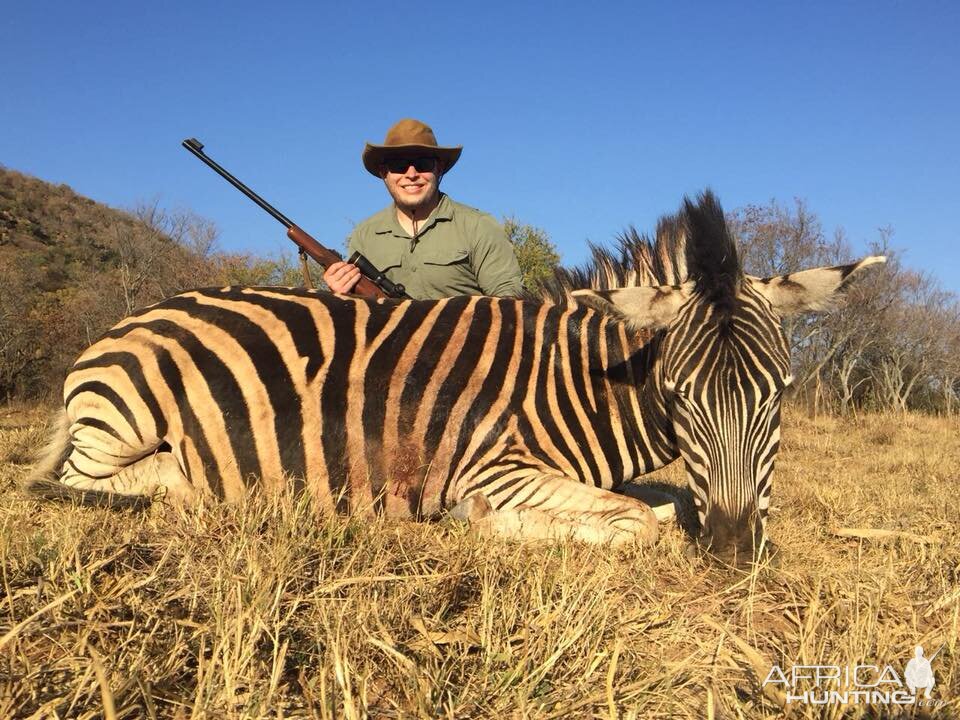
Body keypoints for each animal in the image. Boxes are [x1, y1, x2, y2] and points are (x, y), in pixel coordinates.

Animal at [28, 193, 884, 564]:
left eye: (780, 395)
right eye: (677, 399)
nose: (737, 552)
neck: (587, 379)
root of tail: (125, 324)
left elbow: (661, 503)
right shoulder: (497, 467)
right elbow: (643, 521)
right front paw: (479, 523)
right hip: (126, 423)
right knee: (78, 482)